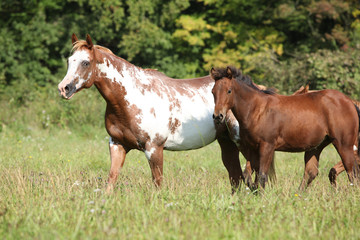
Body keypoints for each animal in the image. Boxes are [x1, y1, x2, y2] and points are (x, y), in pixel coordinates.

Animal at [57, 33, 276, 192]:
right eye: (69, 61)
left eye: (85, 62)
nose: (64, 88)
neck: (132, 98)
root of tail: (256, 88)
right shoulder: (117, 145)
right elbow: (111, 179)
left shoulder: (154, 148)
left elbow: (158, 182)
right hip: (227, 143)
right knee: (236, 177)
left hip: (242, 143)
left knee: (250, 171)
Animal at [211, 66, 360, 189]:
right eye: (213, 92)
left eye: (229, 91)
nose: (218, 116)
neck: (258, 110)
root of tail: (350, 102)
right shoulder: (252, 148)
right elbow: (248, 176)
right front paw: (253, 190)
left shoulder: (267, 146)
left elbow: (262, 176)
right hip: (316, 146)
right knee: (311, 172)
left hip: (344, 145)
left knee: (352, 172)